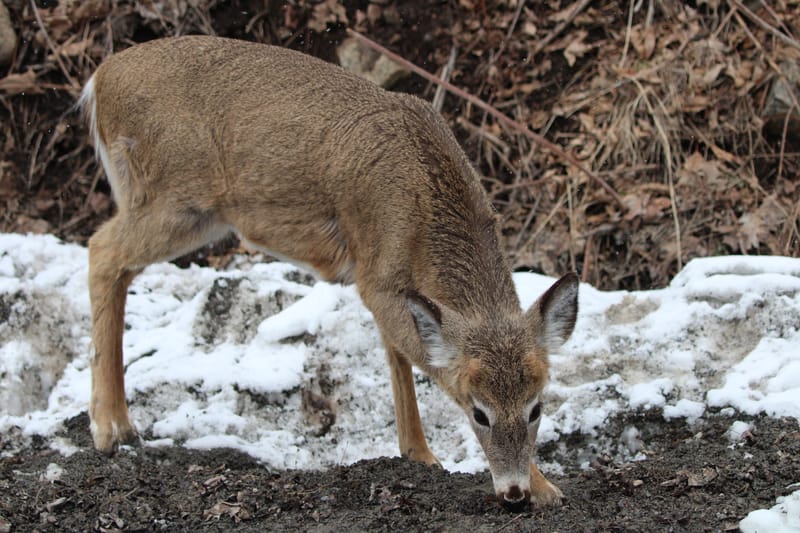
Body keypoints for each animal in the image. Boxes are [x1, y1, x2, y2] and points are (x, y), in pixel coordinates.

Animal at [78, 35, 579, 510]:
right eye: (480, 413)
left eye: (537, 407)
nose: (513, 491)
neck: (425, 206)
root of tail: (99, 81)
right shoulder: (376, 276)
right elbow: (428, 362)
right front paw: (544, 487)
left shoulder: (388, 279)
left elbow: (398, 354)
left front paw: (419, 454)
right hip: (175, 198)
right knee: (101, 249)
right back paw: (109, 428)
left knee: (117, 265)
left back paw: (119, 422)